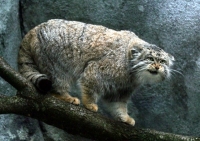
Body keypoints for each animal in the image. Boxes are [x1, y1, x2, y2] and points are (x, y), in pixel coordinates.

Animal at [18, 19, 174, 125]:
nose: (157, 67)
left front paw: (124, 117)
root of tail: (33, 30)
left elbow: (118, 104)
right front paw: (89, 104)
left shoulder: (122, 89)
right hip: (56, 64)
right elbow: (90, 86)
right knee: (57, 83)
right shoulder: (96, 70)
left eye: (163, 61)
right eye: (150, 58)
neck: (130, 68)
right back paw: (66, 96)